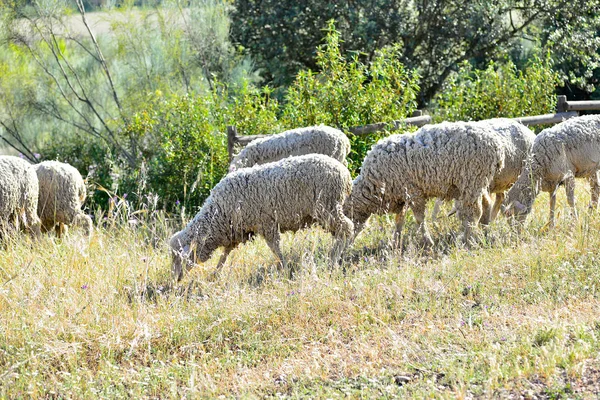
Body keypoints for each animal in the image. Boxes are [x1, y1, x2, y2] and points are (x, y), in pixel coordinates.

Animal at [169, 153, 354, 282]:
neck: (218, 213)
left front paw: (284, 268)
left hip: (328, 207)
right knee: (342, 231)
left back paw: (333, 260)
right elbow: (225, 253)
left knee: (347, 228)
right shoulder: (236, 231)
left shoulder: (267, 224)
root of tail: (345, 174)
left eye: (178, 257)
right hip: (328, 210)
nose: (174, 279)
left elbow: (275, 248)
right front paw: (216, 272)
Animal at [342, 120, 506, 248]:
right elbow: (399, 221)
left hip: (472, 180)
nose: (343, 248)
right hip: (479, 182)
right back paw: (485, 232)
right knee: (487, 204)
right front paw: (395, 243)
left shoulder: (413, 192)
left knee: (475, 212)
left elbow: (419, 219)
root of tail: (497, 146)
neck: (373, 184)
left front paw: (428, 242)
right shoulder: (402, 196)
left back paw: (466, 240)